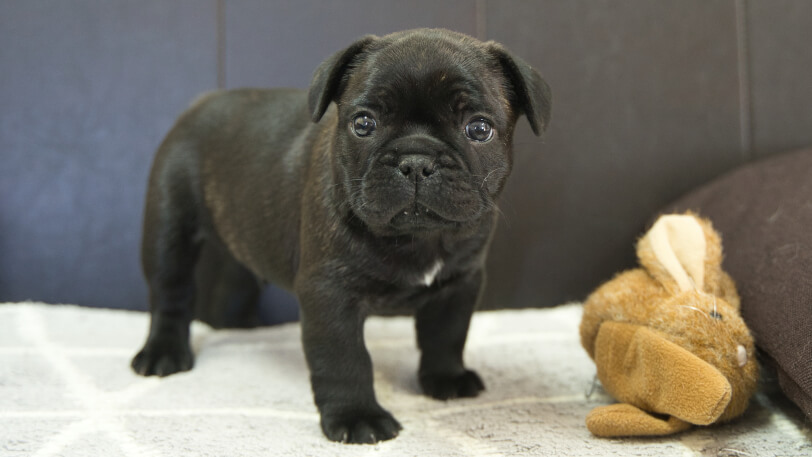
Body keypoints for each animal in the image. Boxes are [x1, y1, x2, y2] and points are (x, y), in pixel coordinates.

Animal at [132, 28, 552, 442]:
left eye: (479, 129)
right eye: (363, 124)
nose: (416, 161)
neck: (416, 237)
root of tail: (201, 103)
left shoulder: (459, 283)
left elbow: (447, 334)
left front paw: (445, 378)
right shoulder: (330, 294)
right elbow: (344, 358)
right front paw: (357, 416)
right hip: (169, 229)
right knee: (171, 293)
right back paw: (162, 353)